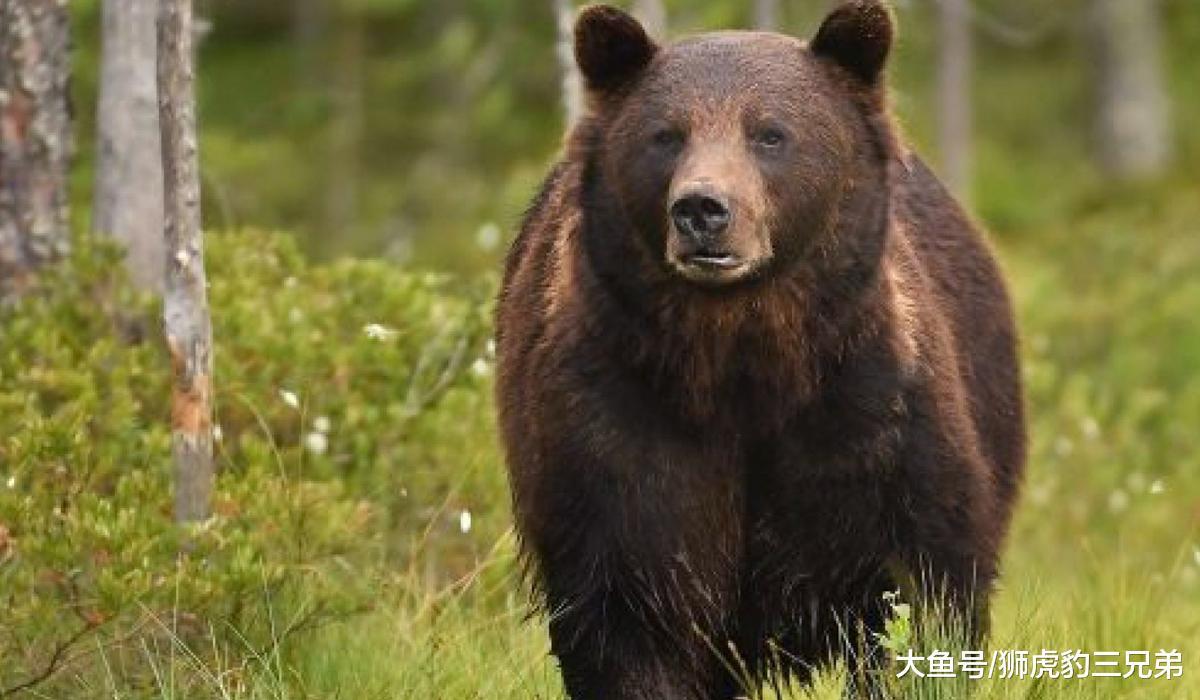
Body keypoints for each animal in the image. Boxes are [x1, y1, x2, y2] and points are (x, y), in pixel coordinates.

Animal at [495, 2, 1025, 698]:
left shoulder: (871, 414)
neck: (741, 359)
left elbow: (921, 592)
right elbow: (628, 614)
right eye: (666, 135)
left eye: (770, 134)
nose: (702, 209)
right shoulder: (617, 421)